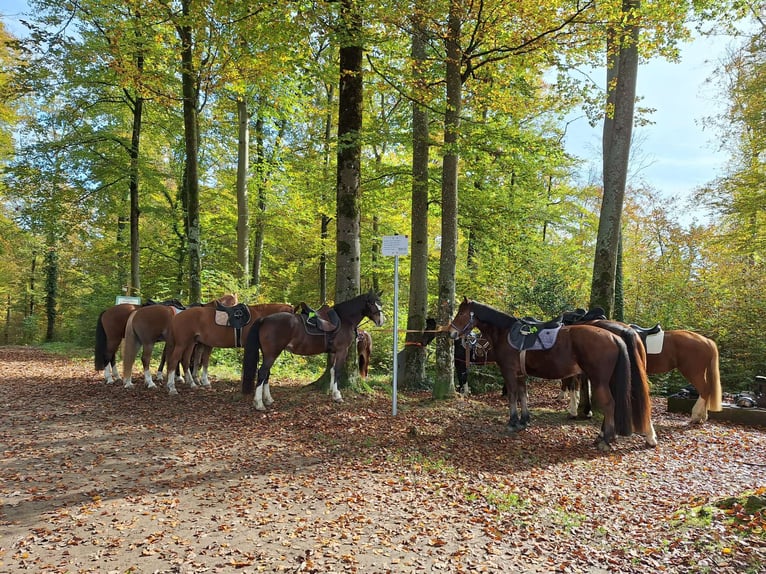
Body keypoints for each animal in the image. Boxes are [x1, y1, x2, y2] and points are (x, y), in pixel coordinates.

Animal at [164, 302, 296, 396]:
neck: (259, 317)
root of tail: (177, 316)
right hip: (181, 344)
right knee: (173, 361)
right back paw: (172, 388)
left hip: (190, 343)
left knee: (185, 361)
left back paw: (192, 384)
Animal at [243, 294, 388, 412]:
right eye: (371, 303)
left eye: (380, 302)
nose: (381, 321)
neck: (344, 319)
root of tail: (264, 319)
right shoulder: (342, 351)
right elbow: (338, 371)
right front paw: (337, 396)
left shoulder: (333, 352)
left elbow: (332, 371)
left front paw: (331, 392)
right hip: (272, 354)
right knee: (262, 373)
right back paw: (259, 403)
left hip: (269, 354)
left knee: (266, 374)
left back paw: (268, 399)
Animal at [450, 300, 660, 452]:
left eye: (461, 313)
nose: (451, 332)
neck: (505, 333)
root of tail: (615, 336)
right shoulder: (520, 374)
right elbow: (523, 395)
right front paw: (524, 420)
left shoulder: (509, 372)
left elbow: (512, 396)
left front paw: (512, 422)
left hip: (600, 380)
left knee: (609, 404)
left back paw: (605, 439)